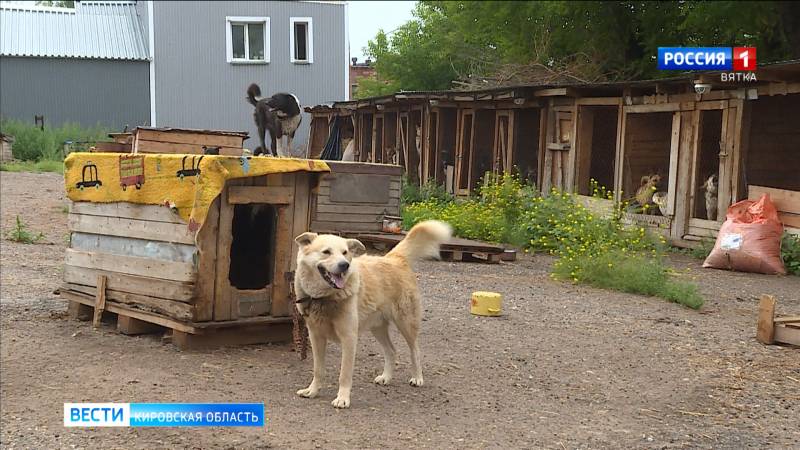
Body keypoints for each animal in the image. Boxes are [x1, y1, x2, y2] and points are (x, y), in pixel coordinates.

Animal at [292, 221, 450, 408]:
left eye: (345, 253)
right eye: (326, 252)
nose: (344, 265)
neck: (325, 297)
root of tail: (394, 257)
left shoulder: (349, 338)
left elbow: (344, 374)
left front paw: (342, 398)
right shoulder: (316, 337)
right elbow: (318, 370)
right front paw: (312, 391)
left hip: (406, 323)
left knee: (415, 351)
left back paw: (417, 377)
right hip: (378, 328)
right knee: (391, 351)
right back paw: (386, 377)